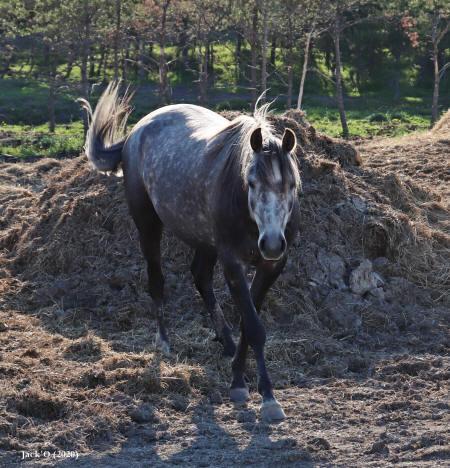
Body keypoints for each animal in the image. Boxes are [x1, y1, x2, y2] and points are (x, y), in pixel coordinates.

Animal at [79, 84, 300, 424]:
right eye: (251, 182)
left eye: (290, 184)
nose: (273, 244)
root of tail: (136, 132)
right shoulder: (233, 263)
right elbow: (254, 327)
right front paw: (263, 397)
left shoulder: (270, 267)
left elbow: (248, 324)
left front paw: (239, 377)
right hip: (148, 224)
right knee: (156, 280)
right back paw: (164, 342)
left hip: (204, 240)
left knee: (200, 277)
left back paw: (226, 343)